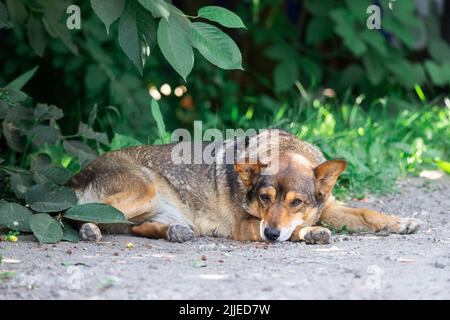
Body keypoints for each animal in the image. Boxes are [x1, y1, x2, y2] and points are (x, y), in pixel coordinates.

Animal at [67, 129, 422, 242]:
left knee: (139, 228)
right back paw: (89, 230)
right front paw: (311, 233)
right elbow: (297, 230)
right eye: (264, 198)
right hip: (145, 190)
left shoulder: (329, 206)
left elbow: (367, 213)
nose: (271, 234)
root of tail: (77, 173)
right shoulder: (246, 226)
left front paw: (402, 222)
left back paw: (176, 232)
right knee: (74, 214)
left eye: (296, 202)